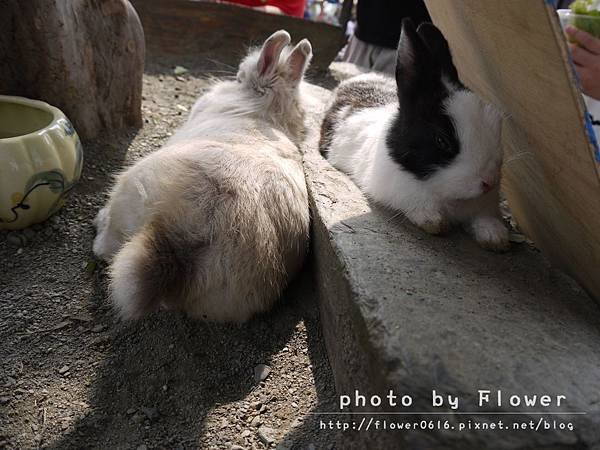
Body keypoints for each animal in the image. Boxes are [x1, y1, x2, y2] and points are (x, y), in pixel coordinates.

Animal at [92, 30, 314, 320]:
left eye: (240, 77)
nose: (234, 78)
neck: (266, 111)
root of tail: (182, 234)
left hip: (128, 192)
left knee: (108, 246)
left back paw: (98, 225)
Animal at [322, 19, 508, 251]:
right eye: (442, 140)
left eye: (497, 123)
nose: (488, 182)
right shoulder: (397, 189)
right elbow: (419, 205)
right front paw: (434, 222)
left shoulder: (484, 205)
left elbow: (484, 218)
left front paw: (496, 238)